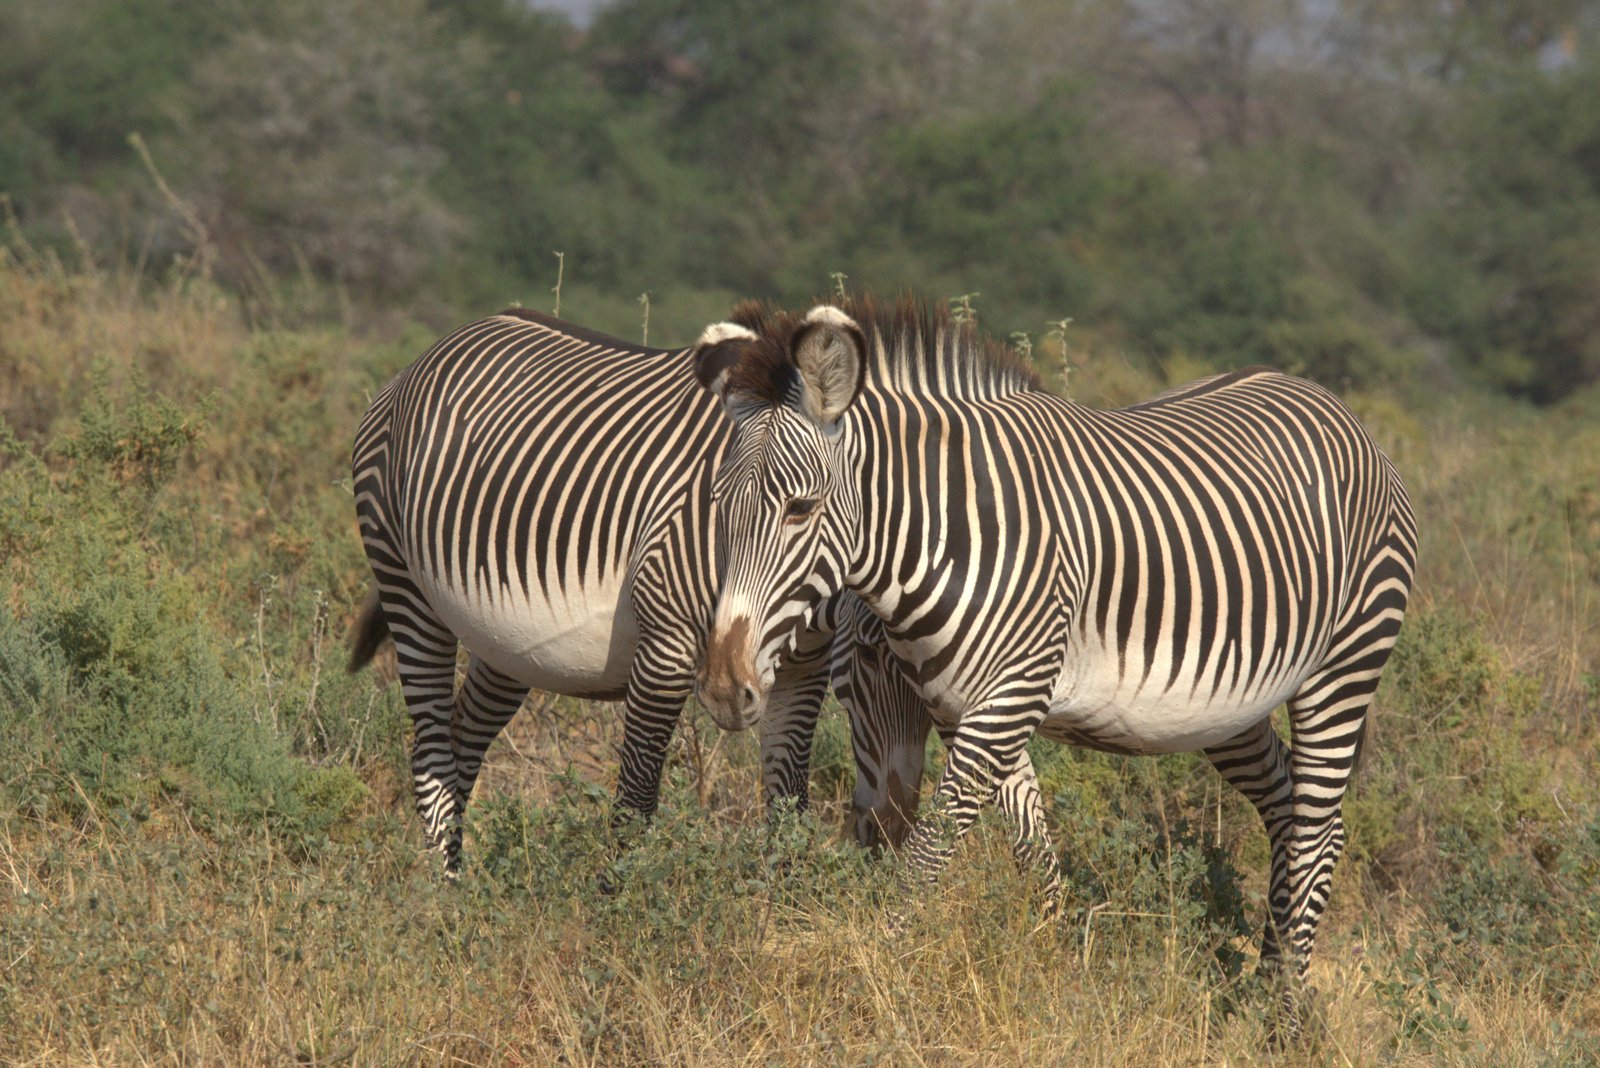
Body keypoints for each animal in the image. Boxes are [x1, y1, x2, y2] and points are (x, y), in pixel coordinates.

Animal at [347, 307, 942, 872]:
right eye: (715, 503)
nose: (888, 834)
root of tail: (432, 352)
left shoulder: (800, 671)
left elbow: (788, 809)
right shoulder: (666, 649)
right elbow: (633, 810)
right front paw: (620, 905)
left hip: (506, 643)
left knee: (461, 736)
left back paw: (464, 885)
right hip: (406, 586)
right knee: (430, 752)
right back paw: (439, 893)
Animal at [688, 295, 1416, 1031]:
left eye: (800, 508)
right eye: (718, 509)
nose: (723, 690)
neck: (945, 535)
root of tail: (1328, 401)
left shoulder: (1007, 699)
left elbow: (929, 856)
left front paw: (872, 987)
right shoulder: (967, 708)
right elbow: (1032, 852)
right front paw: (1055, 976)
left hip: (1344, 667)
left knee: (1316, 827)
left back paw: (1286, 1014)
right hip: (1229, 704)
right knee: (1291, 807)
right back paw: (1265, 985)